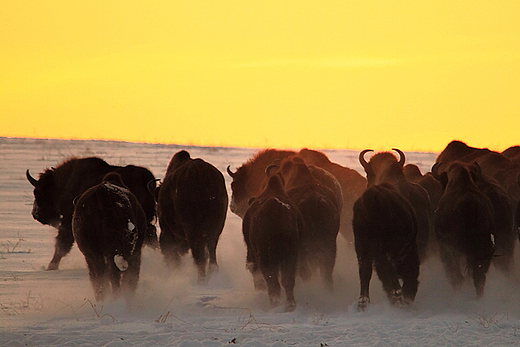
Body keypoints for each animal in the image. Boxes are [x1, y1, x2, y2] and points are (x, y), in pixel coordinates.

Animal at [26, 158, 156, 272]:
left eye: (38, 192)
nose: (35, 214)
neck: (65, 183)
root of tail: (144, 177)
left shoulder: (68, 222)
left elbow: (61, 245)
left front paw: (51, 267)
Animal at [154, 151, 228, 284]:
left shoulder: (166, 230)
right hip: (215, 227)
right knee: (211, 252)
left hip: (191, 229)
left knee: (199, 255)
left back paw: (201, 280)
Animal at [244, 174, 304, 312]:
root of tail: (275, 209)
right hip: (289, 256)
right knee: (287, 280)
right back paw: (290, 305)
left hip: (266, 257)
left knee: (273, 282)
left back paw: (274, 303)